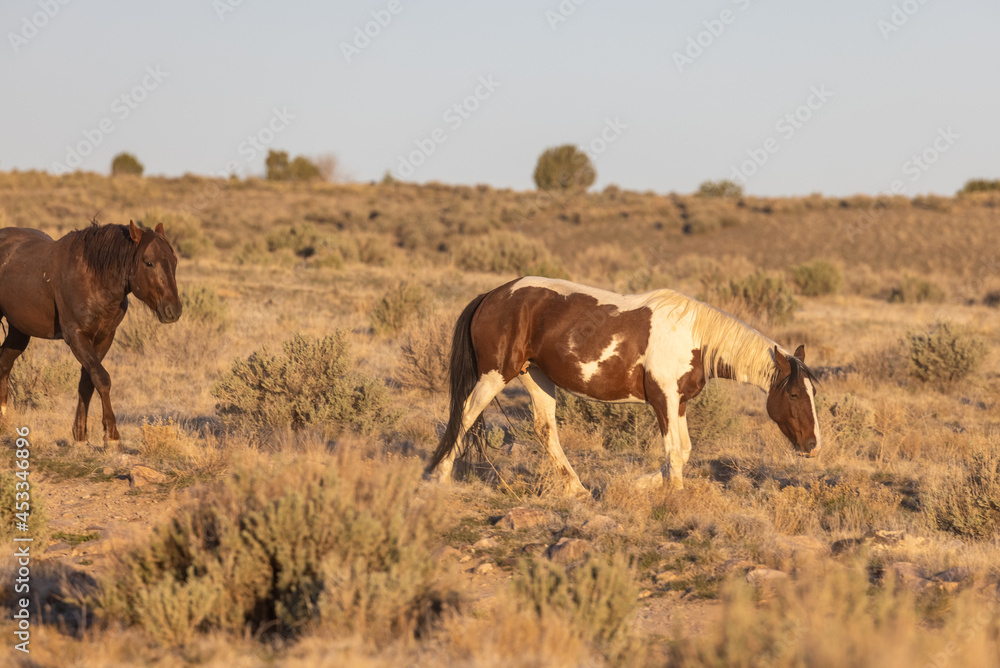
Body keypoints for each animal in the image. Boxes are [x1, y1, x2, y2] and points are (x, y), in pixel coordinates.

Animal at [0, 221, 181, 442]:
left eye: (174, 261)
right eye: (149, 263)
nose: (174, 310)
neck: (93, 280)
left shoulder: (104, 338)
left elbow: (87, 382)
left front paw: (80, 434)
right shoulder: (76, 337)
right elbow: (102, 379)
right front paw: (111, 435)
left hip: (19, 331)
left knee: (4, 364)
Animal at [425, 276, 821, 495]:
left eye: (814, 393)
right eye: (795, 394)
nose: (813, 445)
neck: (693, 336)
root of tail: (492, 295)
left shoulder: (678, 402)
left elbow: (684, 451)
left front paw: (644, 485)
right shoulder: (663, 400)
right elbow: (674, 451)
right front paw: (674, 495)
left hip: (534, 377)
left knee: (545, 429)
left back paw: (577, 489)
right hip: (495, 375)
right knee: (465, 415)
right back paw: (440, 475)